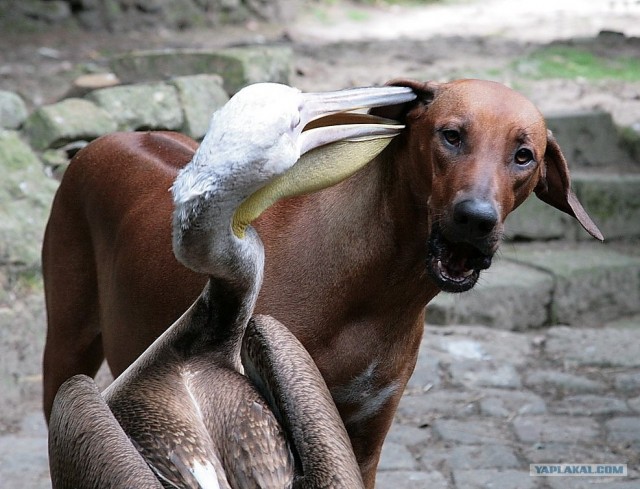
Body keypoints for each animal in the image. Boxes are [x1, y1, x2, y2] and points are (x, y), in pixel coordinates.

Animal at [42, 78, 604, 486]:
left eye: (524, 154)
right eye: (451, 134)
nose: (475, 219)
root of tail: (115, 137)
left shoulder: (367, 436)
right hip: (67, 345)